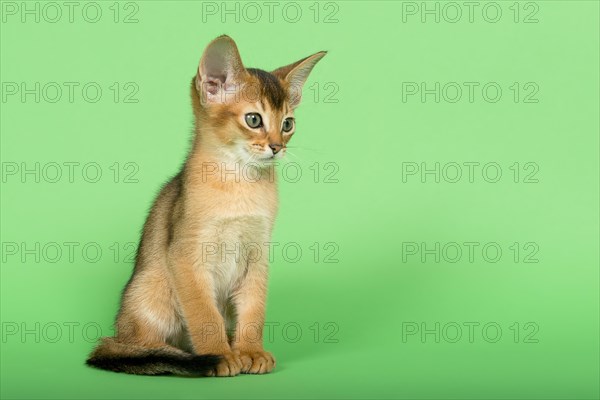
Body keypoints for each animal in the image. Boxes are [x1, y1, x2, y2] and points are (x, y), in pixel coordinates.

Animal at [86, 36, 326, 376]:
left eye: (288, 124)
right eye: (254, 119)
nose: (277, 147)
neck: (240, 183)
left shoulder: (258, 254)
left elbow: (254, 310)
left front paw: (250, 351)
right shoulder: (185, 255)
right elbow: (204, 315)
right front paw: (220, 355)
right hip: (152, 288)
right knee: (134, 347)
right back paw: (173, 356)